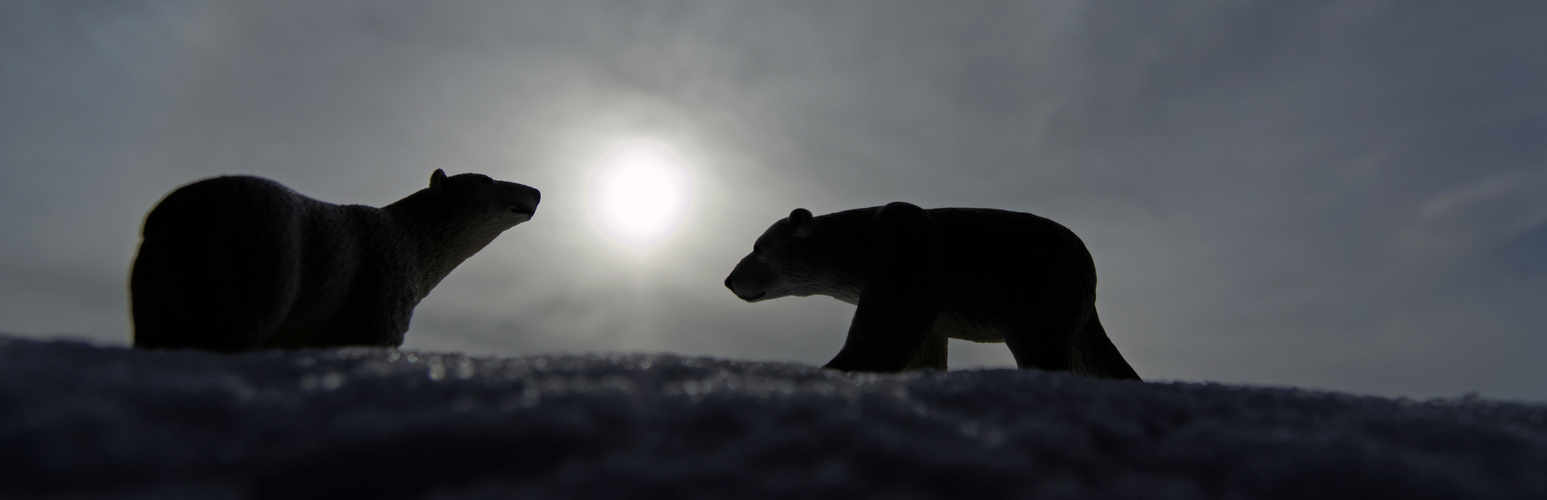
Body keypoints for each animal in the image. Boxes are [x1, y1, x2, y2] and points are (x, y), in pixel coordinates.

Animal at [134, 170, 544, 351]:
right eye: (486, 179)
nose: (536, 192)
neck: (413, 238)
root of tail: (177, 209)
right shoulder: (384, 282)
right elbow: (375, 338)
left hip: (154, 275)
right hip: (262, 253)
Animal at [720, 202, 1138, 380]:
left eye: (758, 247)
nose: (728, 279)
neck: (858, 244)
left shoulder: (905, 243)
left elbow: (887, 328)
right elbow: (926, 347)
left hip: (1042, 276)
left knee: (1039, 340)